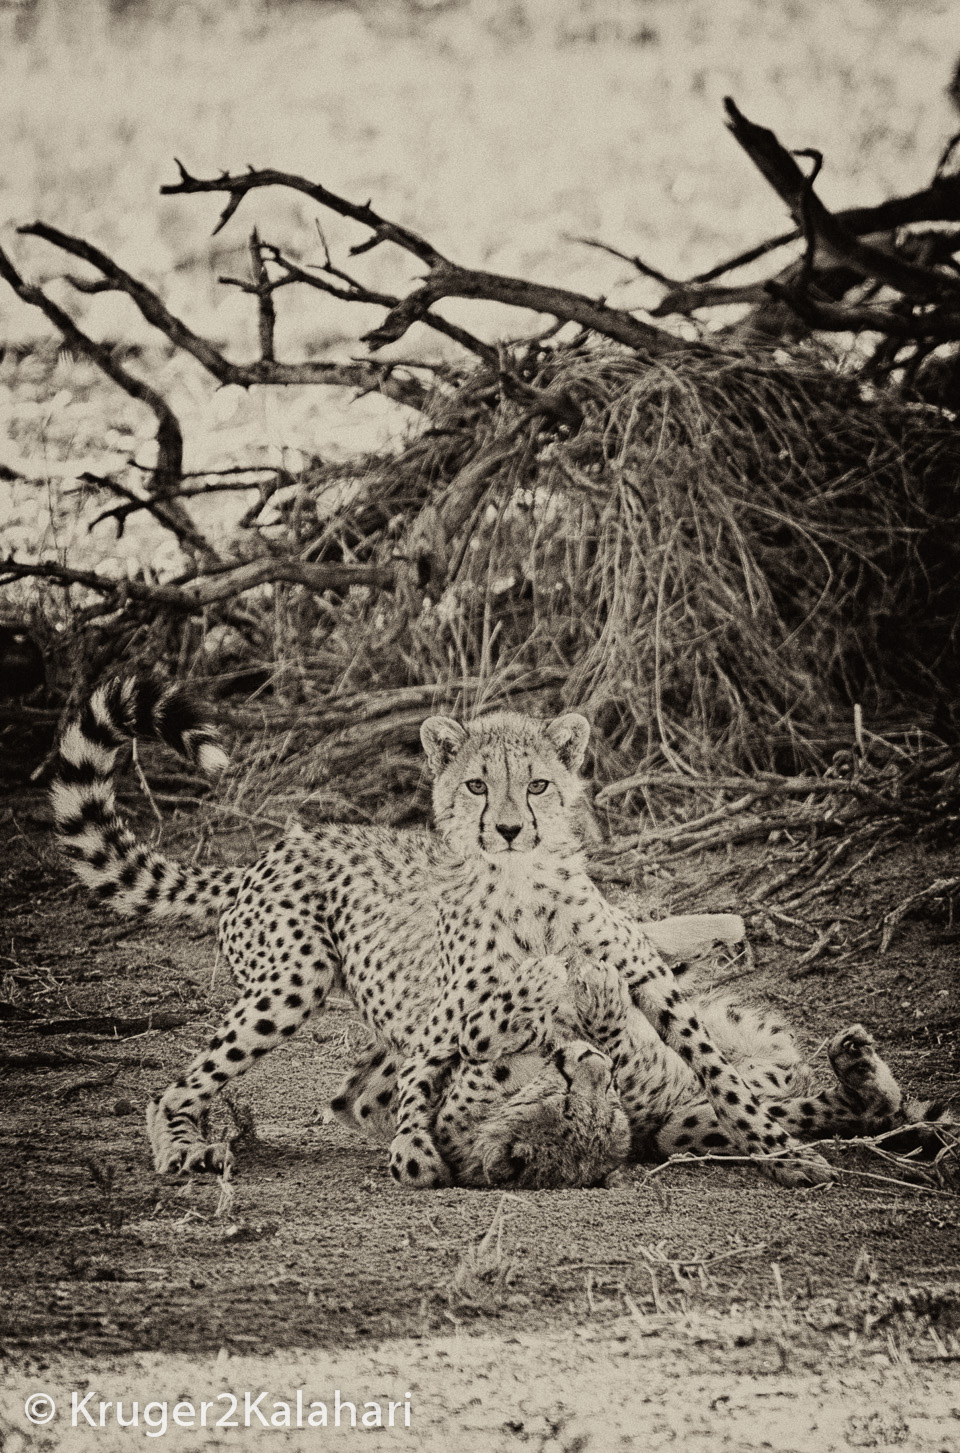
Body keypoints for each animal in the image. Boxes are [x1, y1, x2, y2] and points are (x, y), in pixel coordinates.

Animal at [50, 671, 851, 1190]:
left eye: (537, 784)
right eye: (475, 785)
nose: (508, 828)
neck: (529, 889)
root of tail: (269, 852)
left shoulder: (647, 983)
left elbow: (718, 1071)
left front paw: (784, 1153)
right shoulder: (454, 1023)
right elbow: (435, 1089)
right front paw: (418, 1151)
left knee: (351, 1094)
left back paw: (723, 924)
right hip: (293, 980)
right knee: (182, 1089)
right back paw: (182, 1146)